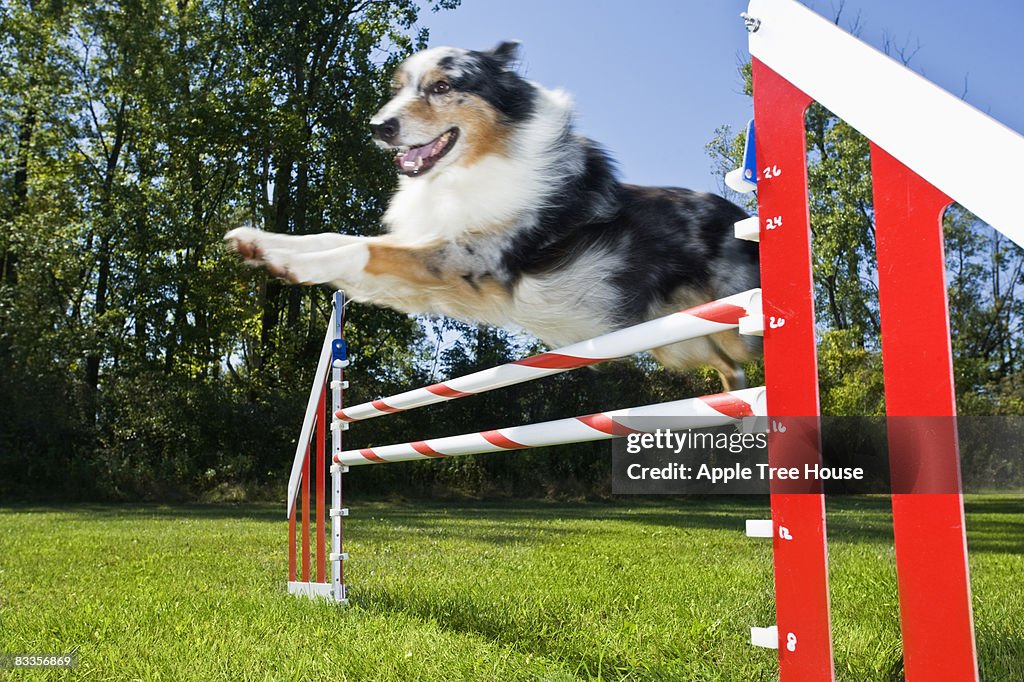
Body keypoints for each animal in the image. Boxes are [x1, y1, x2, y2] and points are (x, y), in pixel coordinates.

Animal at [230, 42, 761, 391]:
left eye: (442, 86)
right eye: (398, 89)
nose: (379, 127)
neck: (475, 162)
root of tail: (741, 219)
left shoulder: (467, 261)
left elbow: (362, 248)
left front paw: (291, 264)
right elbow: (331, 237)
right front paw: (258, 243)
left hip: (729, 326)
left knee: (741, 357)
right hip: (681, 343)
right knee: (727, 368)